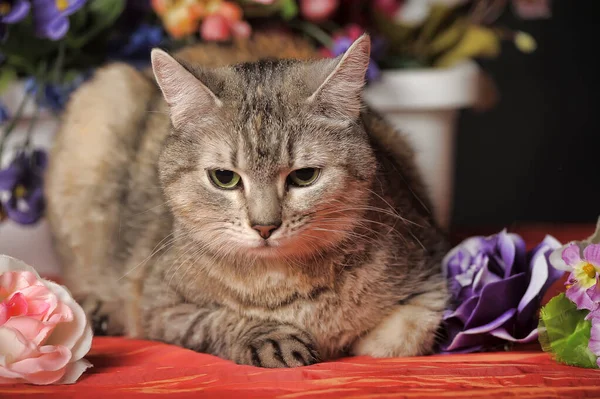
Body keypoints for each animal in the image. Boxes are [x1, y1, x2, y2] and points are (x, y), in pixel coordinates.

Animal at [44, 33, 450, 368]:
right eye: (224, 178)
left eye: (305, 176)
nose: (265, 226)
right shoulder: (156, 305)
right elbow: (213, 320)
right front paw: (268, 336)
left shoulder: (431, 267)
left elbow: (402, 336)